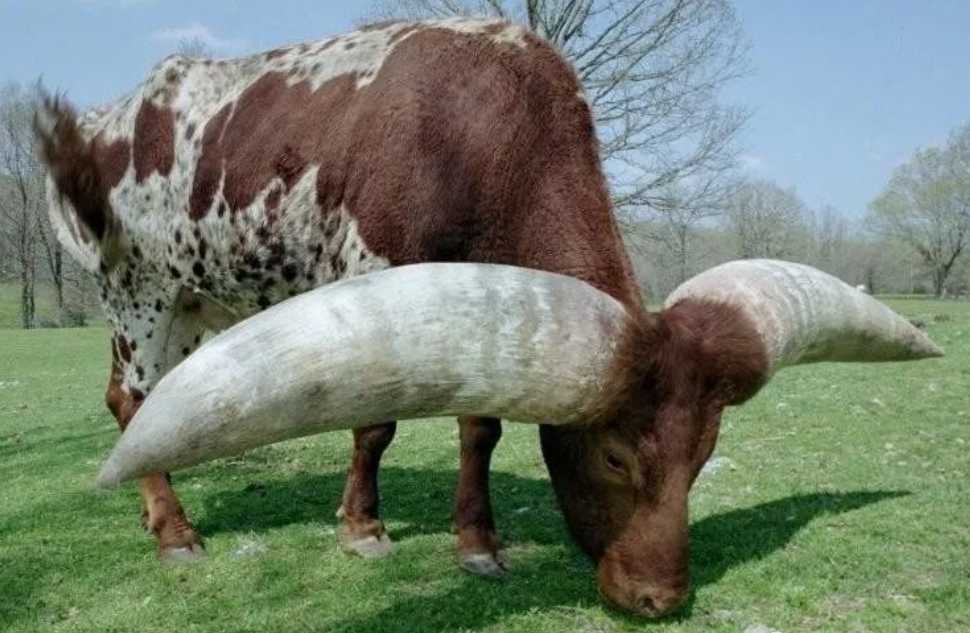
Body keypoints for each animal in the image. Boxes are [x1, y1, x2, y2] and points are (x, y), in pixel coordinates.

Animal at [37, 18, 941, 617]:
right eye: (616, 455)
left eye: (705, 455)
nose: (659, 597)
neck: (483, 137)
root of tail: (104, 118)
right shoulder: (373, 277)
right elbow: (375, 427)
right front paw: (364, 528)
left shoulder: (481, 308)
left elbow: (482, 427)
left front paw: (478, 543)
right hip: (140, 293)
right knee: (139, 399)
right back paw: (174, 532)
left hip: (193, 299)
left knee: (124, 398)